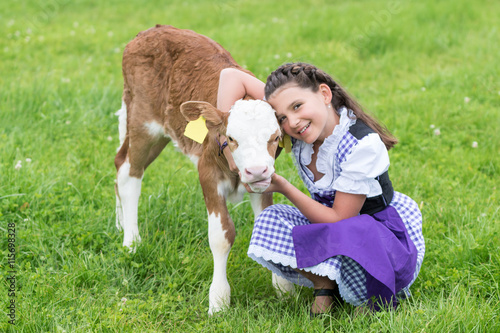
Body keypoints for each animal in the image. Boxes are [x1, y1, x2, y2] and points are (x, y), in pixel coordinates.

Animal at [113, 26, 292, 314]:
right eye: (231, 138)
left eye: (275, 137)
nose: (255, 171)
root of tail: (151, 31)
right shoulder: (207, 173)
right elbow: (222, 235)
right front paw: (218, 301)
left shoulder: (265, 181)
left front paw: (284, 289)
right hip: (142, 122)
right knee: (130, 174)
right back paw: (131, 242)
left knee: (119, 162)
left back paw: (121, 225)